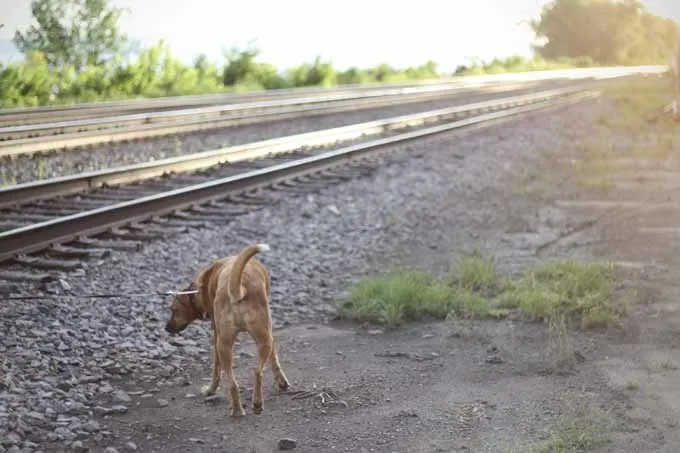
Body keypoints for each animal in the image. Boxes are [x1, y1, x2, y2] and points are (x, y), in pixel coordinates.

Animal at [167, 242, 292, 414]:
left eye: (173, 310)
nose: (166, 328)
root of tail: (240, 288)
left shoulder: (216, 337)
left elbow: (216, 369)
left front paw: (210, 390)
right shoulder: (269, 332)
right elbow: (274, 358)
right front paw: (281, 381)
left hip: (225, 345)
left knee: (234, 382)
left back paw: (238, 410)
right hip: (260, 340)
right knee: (256, 372)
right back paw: (255, 404)